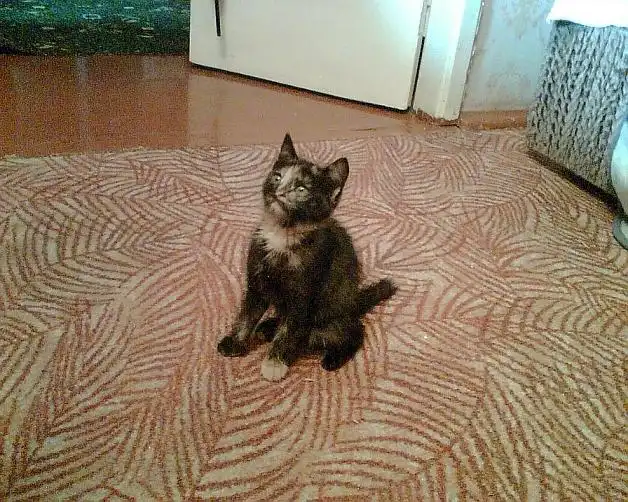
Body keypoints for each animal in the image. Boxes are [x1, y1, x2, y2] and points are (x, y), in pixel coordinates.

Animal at [217, 133, 397, 381]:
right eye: (277, 176)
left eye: (301, 189)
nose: (279, 191)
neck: (282, 234)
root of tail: (353, 304)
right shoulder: (256, 281)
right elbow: (247, 314)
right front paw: (235, 342)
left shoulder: (304, 297)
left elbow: (289, 330)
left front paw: (274, 363)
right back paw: (268, 326)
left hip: (329, 317)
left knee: (353, 332)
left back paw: (333, 358)